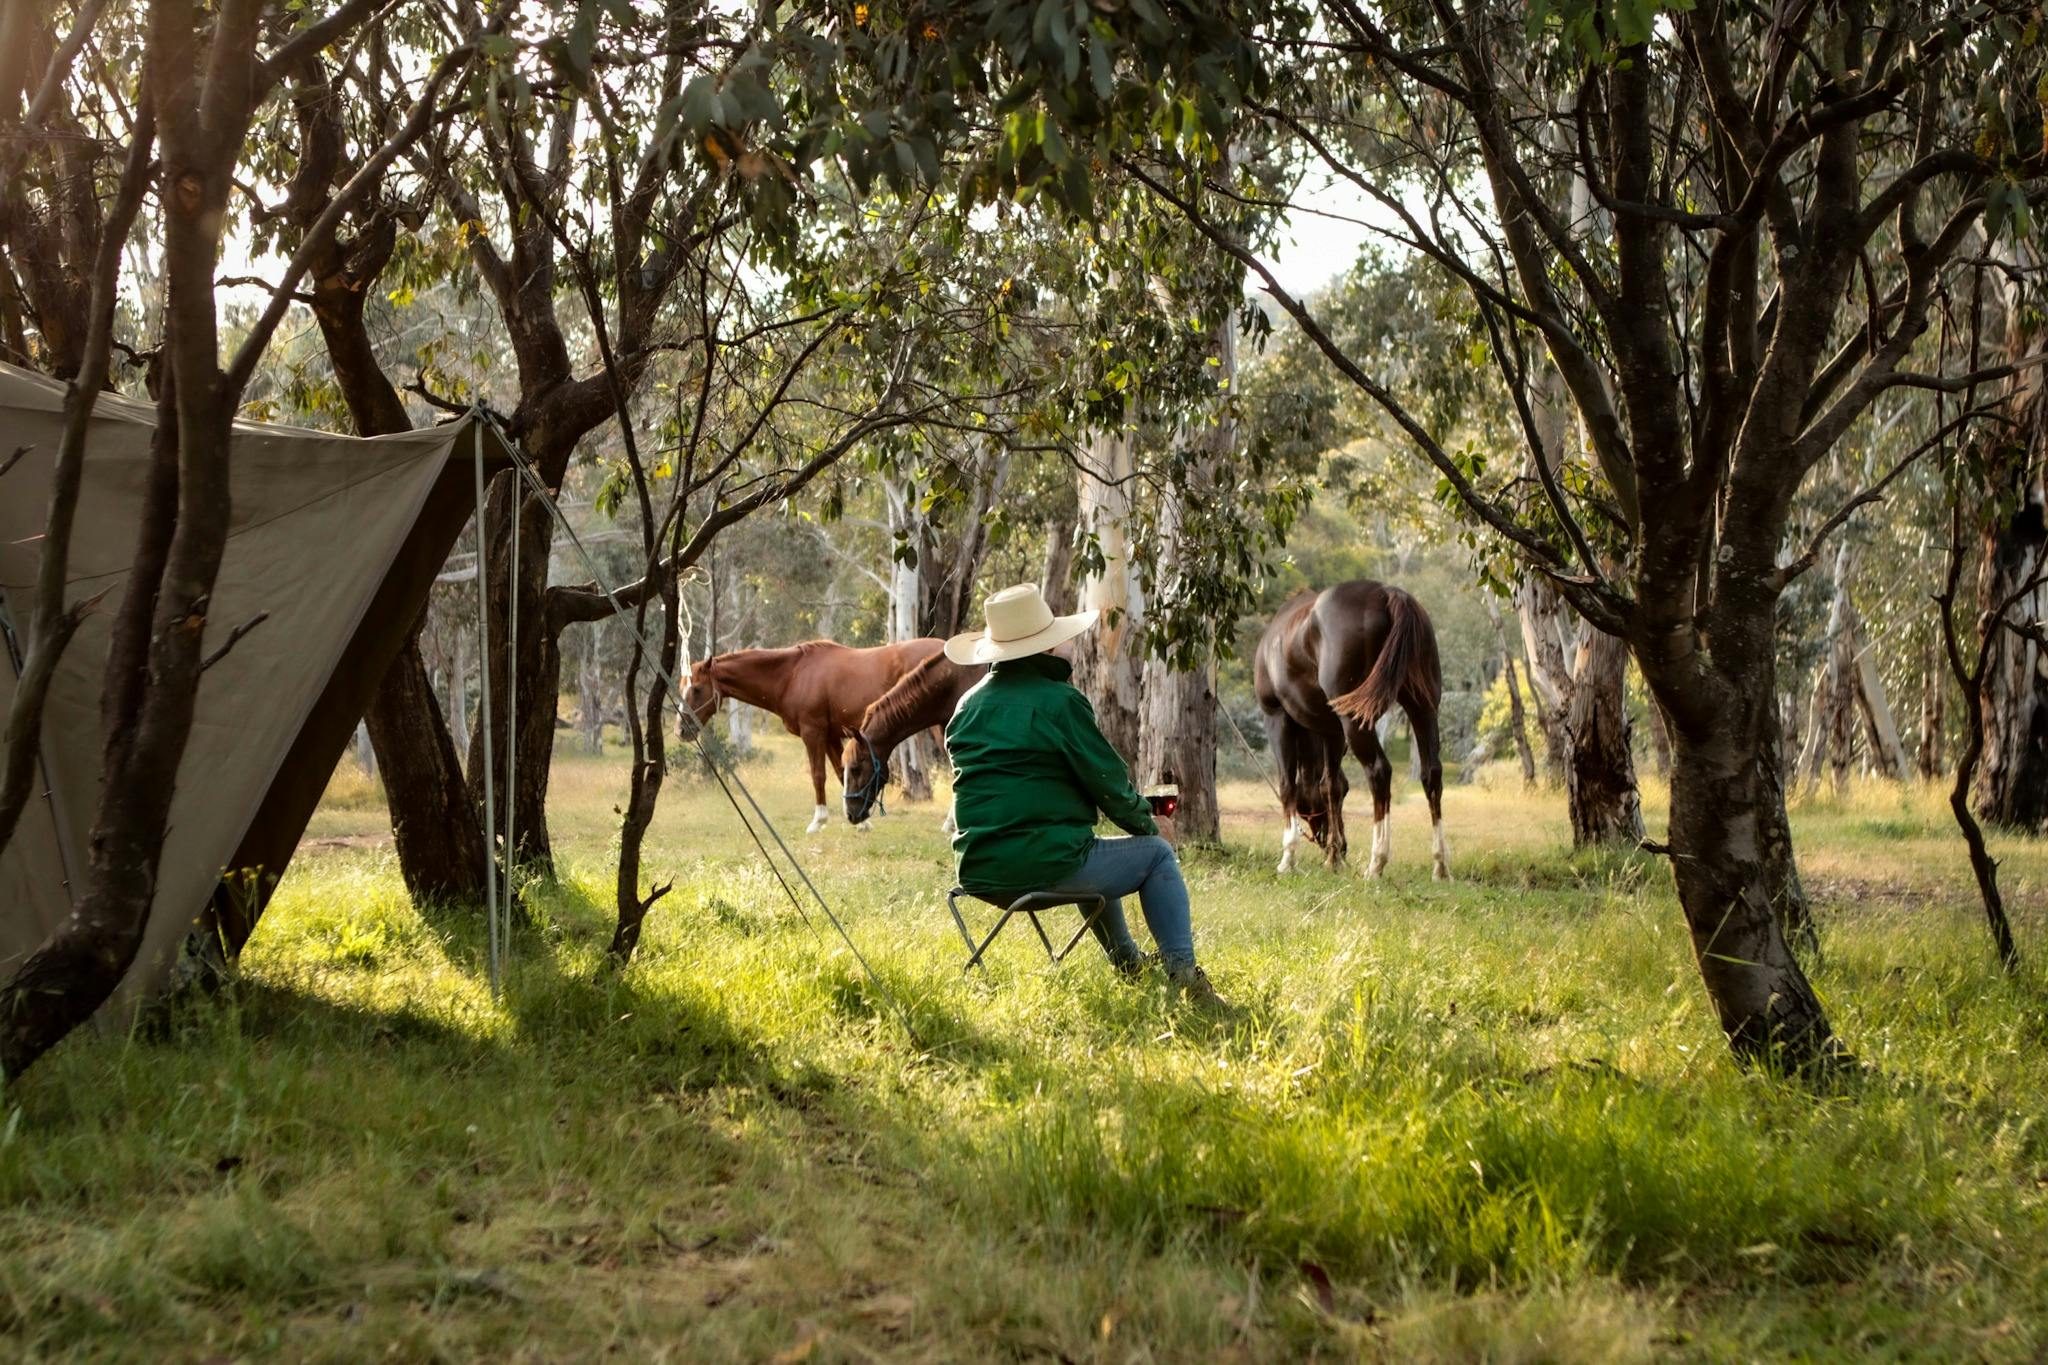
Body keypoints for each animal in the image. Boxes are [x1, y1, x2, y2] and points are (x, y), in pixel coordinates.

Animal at [681, 638, 945, 832]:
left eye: (697, 689)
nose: (681, 729)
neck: (793, 674)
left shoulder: (813, 732)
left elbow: (818, 775)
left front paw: (819, 821)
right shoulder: (831, 736)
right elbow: (841, 772)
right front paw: (862, 822)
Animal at [1254, 580, 1448, 879]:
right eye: (1347, 792)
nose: (1341, 847)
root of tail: (1387, 593)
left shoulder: (1277, 719)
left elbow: (1288, 785)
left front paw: (1288, 858)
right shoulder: (1331, 733)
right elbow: (1329, 785)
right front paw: (1334, 858)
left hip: (1355, 721)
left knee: (1379, 771)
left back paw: (1376, 862)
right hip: (1423, 709)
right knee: (1431, 773)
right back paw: (1440, 865)